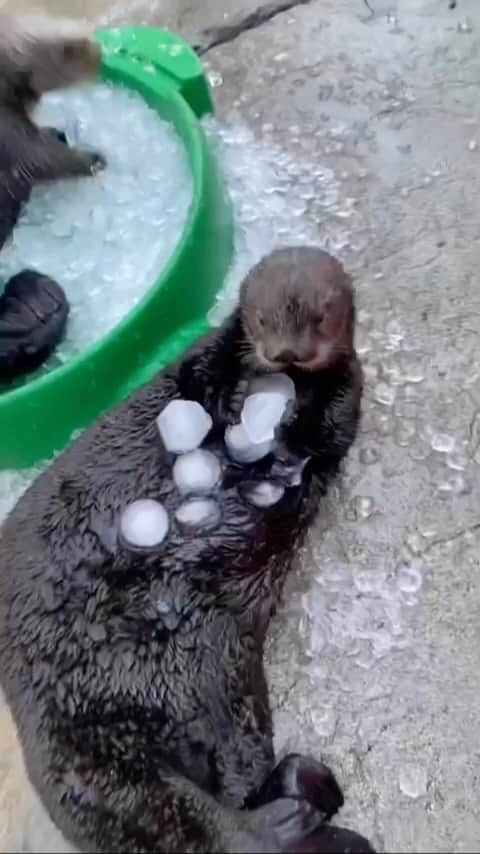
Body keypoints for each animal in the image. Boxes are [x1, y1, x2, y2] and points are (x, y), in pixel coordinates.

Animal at [0, 249, 370, 854]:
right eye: (263, 321)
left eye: (320, 320)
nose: (286, 357)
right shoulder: (207, 357)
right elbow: (202, 381)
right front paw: (238, 412)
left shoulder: (346, 393)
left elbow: (323, 425)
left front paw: (280, 435)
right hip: (82, 752)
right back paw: (293, 812)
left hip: (220, 684)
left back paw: (297, 807)